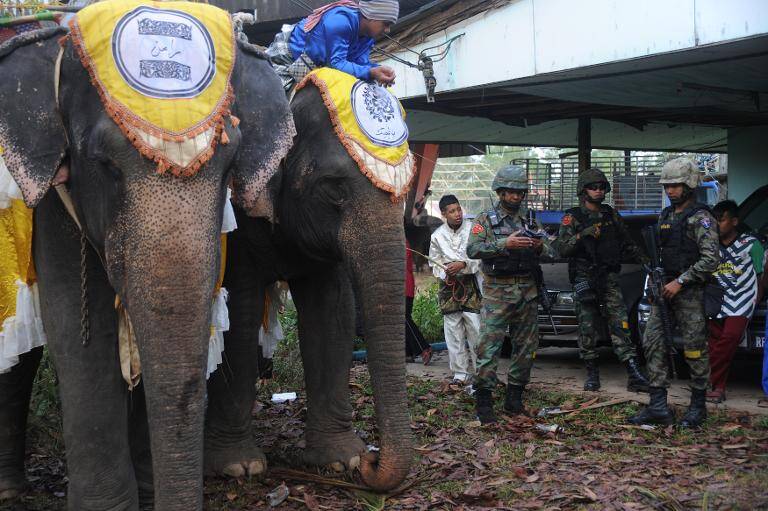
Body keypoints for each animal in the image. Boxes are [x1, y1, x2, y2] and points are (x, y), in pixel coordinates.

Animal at [204, 77, 414, 492]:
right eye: (334, 189)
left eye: (406, 189)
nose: (373, 461)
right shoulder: (236, 221)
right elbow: (237, 313)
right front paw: (238, 467)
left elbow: (333, 312)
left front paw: (342, 461)